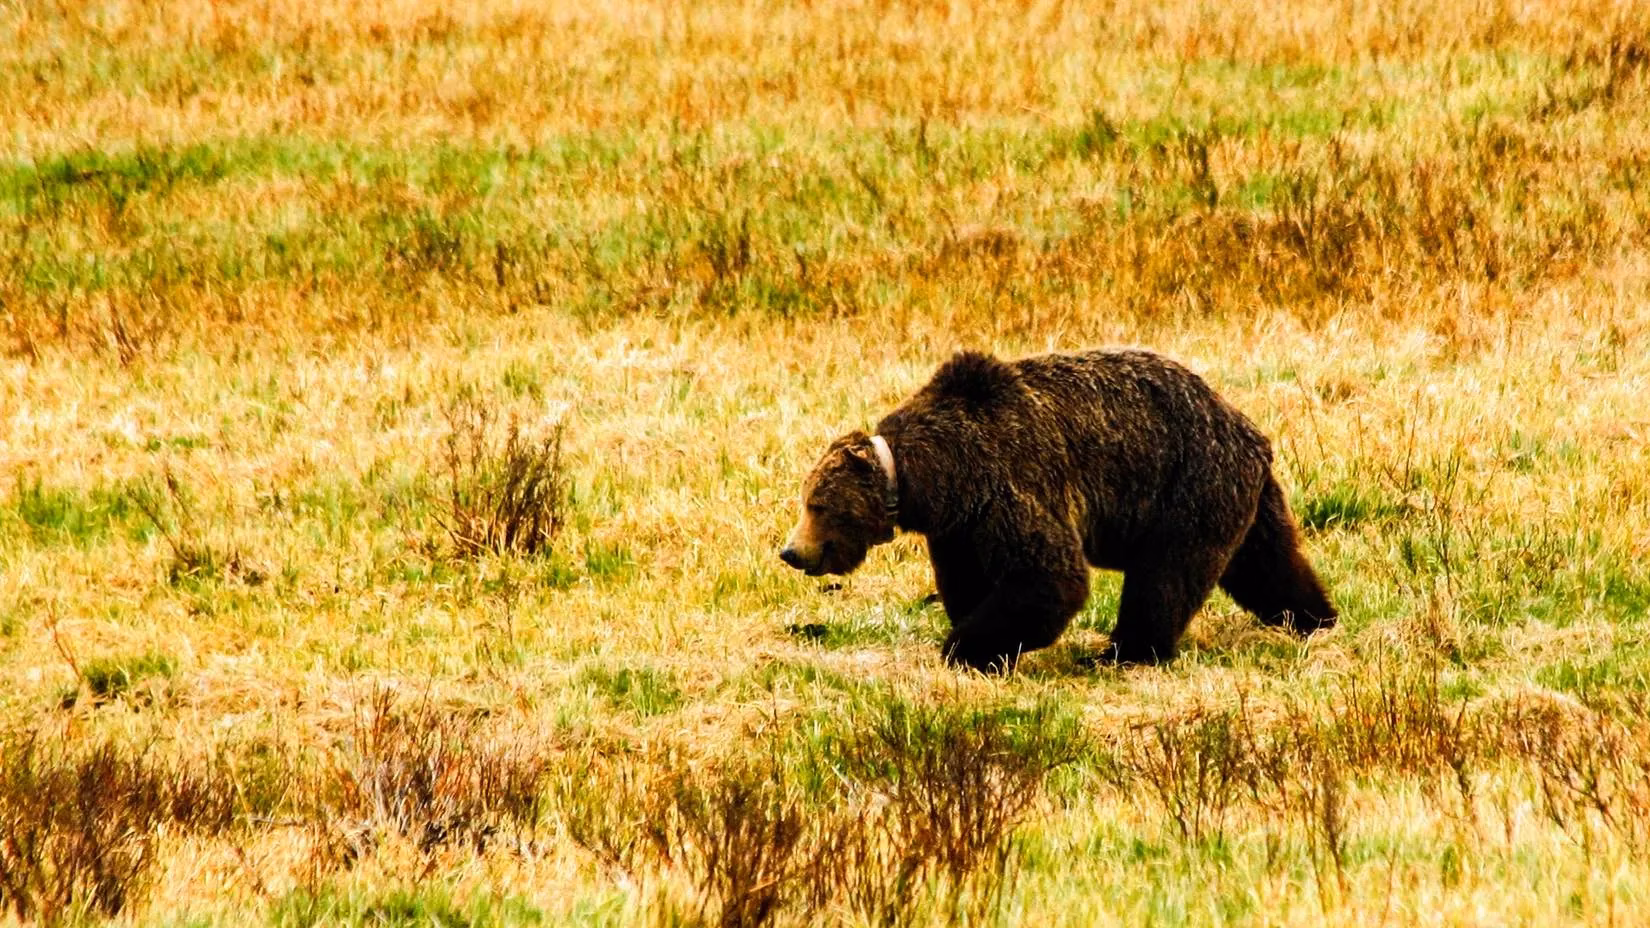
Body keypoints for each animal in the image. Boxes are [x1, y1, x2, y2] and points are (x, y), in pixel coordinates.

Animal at [779, 349, 1336, 671]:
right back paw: (1315, 617)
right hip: (1245, 497)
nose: (791, 551)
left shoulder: (1009, 484)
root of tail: (1249, 429)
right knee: (1269, 563)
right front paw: (978, 642)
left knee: (1164, 578)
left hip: (1187, 487)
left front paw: (965, 648)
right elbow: (969, 578)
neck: (936, 476)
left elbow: (1048, 576)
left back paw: (1124, 652)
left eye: (816, 504)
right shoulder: (962, 525)